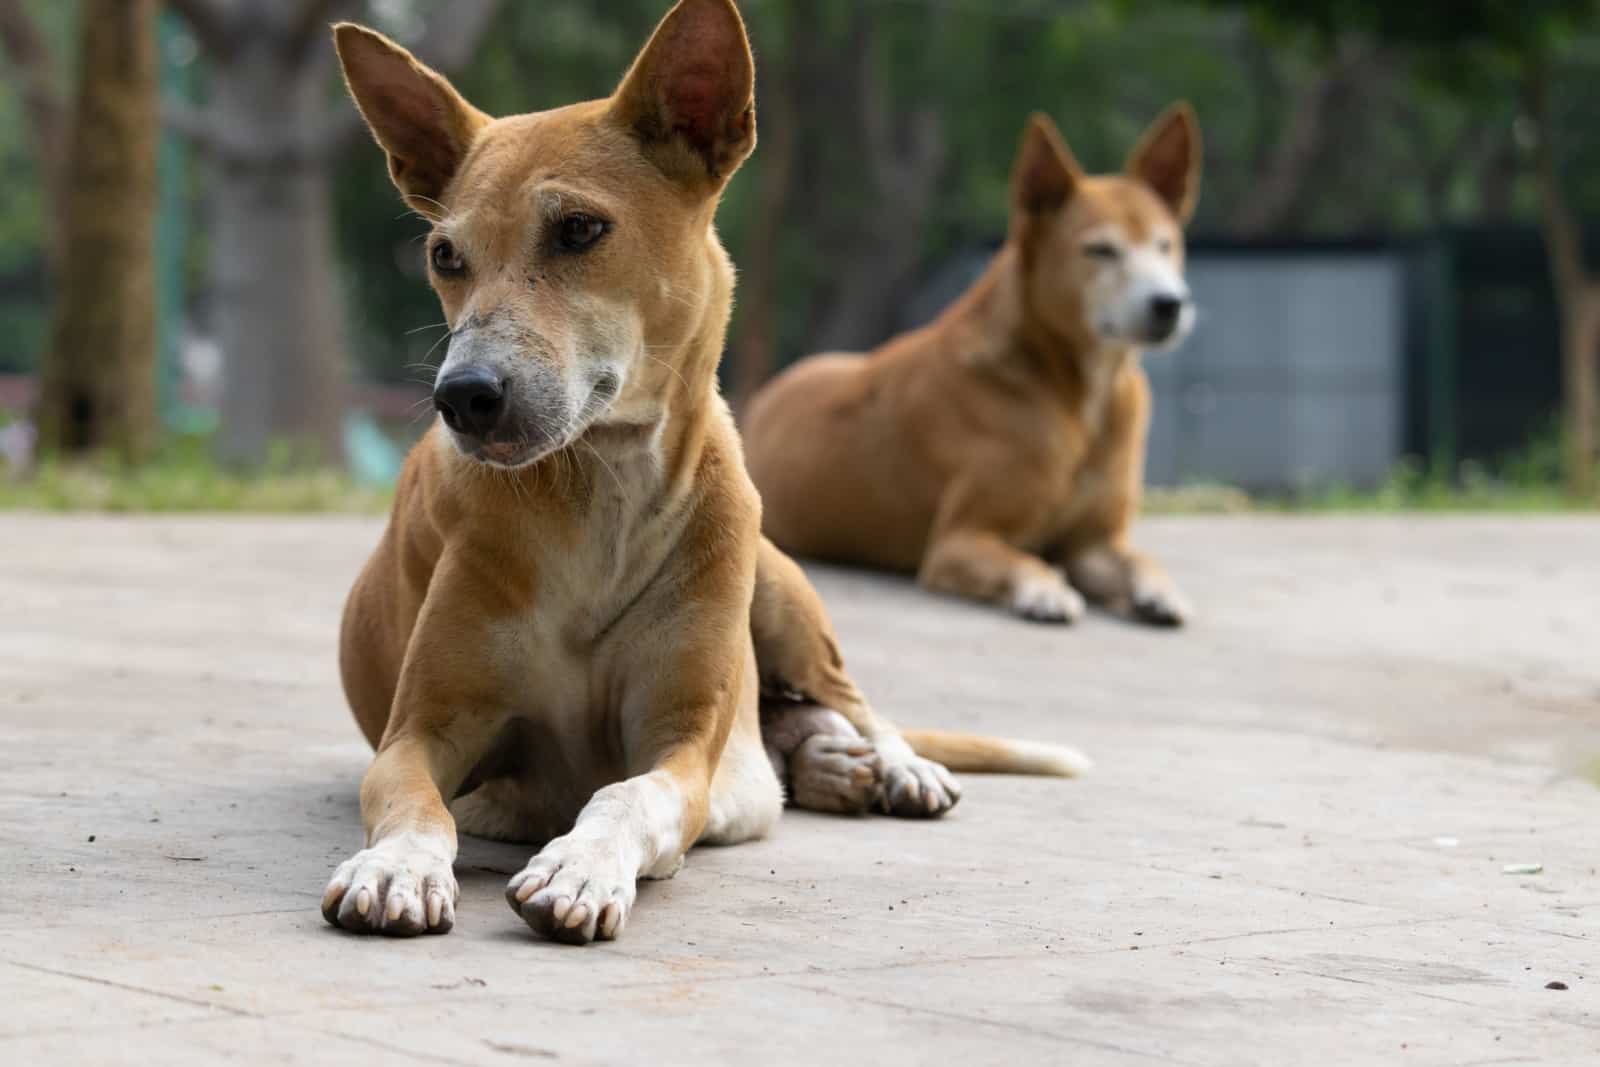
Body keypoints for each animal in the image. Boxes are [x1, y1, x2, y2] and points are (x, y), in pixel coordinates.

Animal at [321, 2, 1088, 953]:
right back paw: (823, 762)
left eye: (579, 229)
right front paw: (397, 865)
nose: (463, 394)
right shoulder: (417, 733)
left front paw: (580, 866)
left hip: (780, 587)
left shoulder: (681, 745)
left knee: (852, 699)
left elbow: (629, 793)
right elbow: (417, 802)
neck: (600, 489)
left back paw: (888, 763)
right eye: (444, 254)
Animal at [745, 106, 1203, 627]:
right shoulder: (959, 541)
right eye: (1100, 250)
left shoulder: (1093, 544)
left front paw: (1161, 592)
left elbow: (1142, 560)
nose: (1170, 303)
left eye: (1165, 245)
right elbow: (1024, 562)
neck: (1079, 395)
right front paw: (1047, 590)